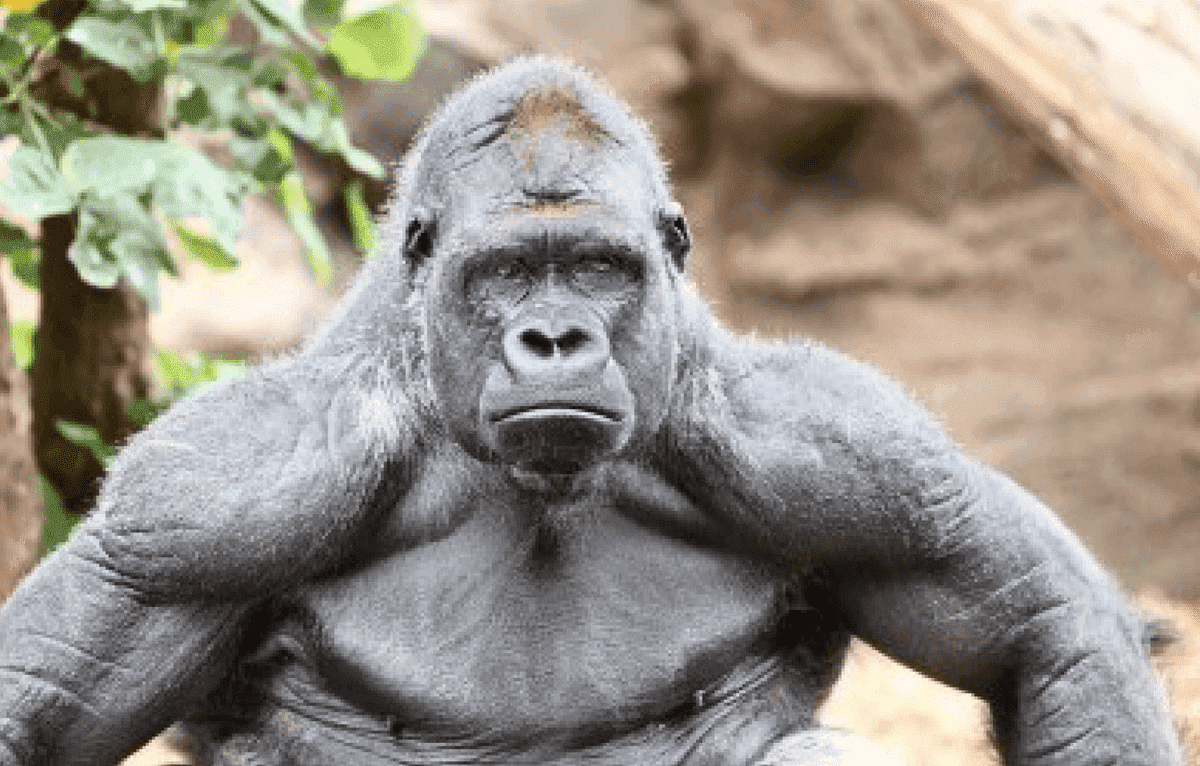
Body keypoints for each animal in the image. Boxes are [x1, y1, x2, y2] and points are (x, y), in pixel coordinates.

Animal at [0, 57, 1182, 766]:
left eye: (599, 270)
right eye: (509, 274)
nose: (556, 339)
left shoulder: (857, 457)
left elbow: (1046, 628)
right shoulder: (213, 497)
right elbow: (38, 702)